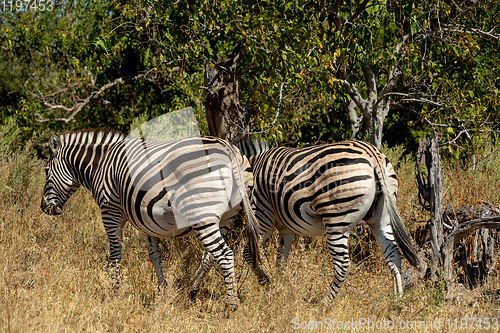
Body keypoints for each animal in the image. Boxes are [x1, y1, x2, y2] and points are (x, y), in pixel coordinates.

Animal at [39, 129, 260, 306]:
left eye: (46, 170)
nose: (44, 208)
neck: (101, 165)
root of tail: (229, 149)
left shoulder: (110, 212)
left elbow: (115, 253)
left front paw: (112, 290)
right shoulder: (146, 219)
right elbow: (154, 255)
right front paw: (162, 289)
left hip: (201, 212)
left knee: (224, 254)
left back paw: (231, 306)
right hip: (226, 217)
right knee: (210, 255)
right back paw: (192, 291)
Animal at [232, 137, 420, 300]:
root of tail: (372, 154)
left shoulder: (262, 214)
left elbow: (249, 252)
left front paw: (266, 283)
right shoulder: (286, 228)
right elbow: (281, 259)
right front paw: (280, 286)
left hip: (337, 219)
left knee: (343, 265)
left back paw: (325, 303)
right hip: (382, 215)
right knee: (393, 254)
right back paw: (396, 300)